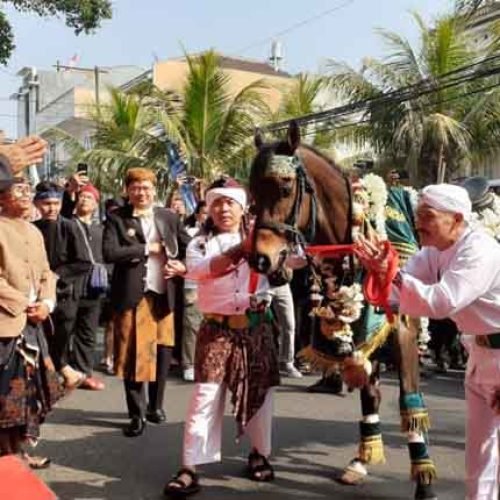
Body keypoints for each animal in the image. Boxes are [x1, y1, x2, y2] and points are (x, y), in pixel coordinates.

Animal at [248, 121, 436, 500]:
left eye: (285, 185)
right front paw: (361, 459)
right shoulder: (364, 335)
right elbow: (369, 392)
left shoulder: (404, 331)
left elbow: (410, 400)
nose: (261, 259)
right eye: (252, 190)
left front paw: (424, 481)